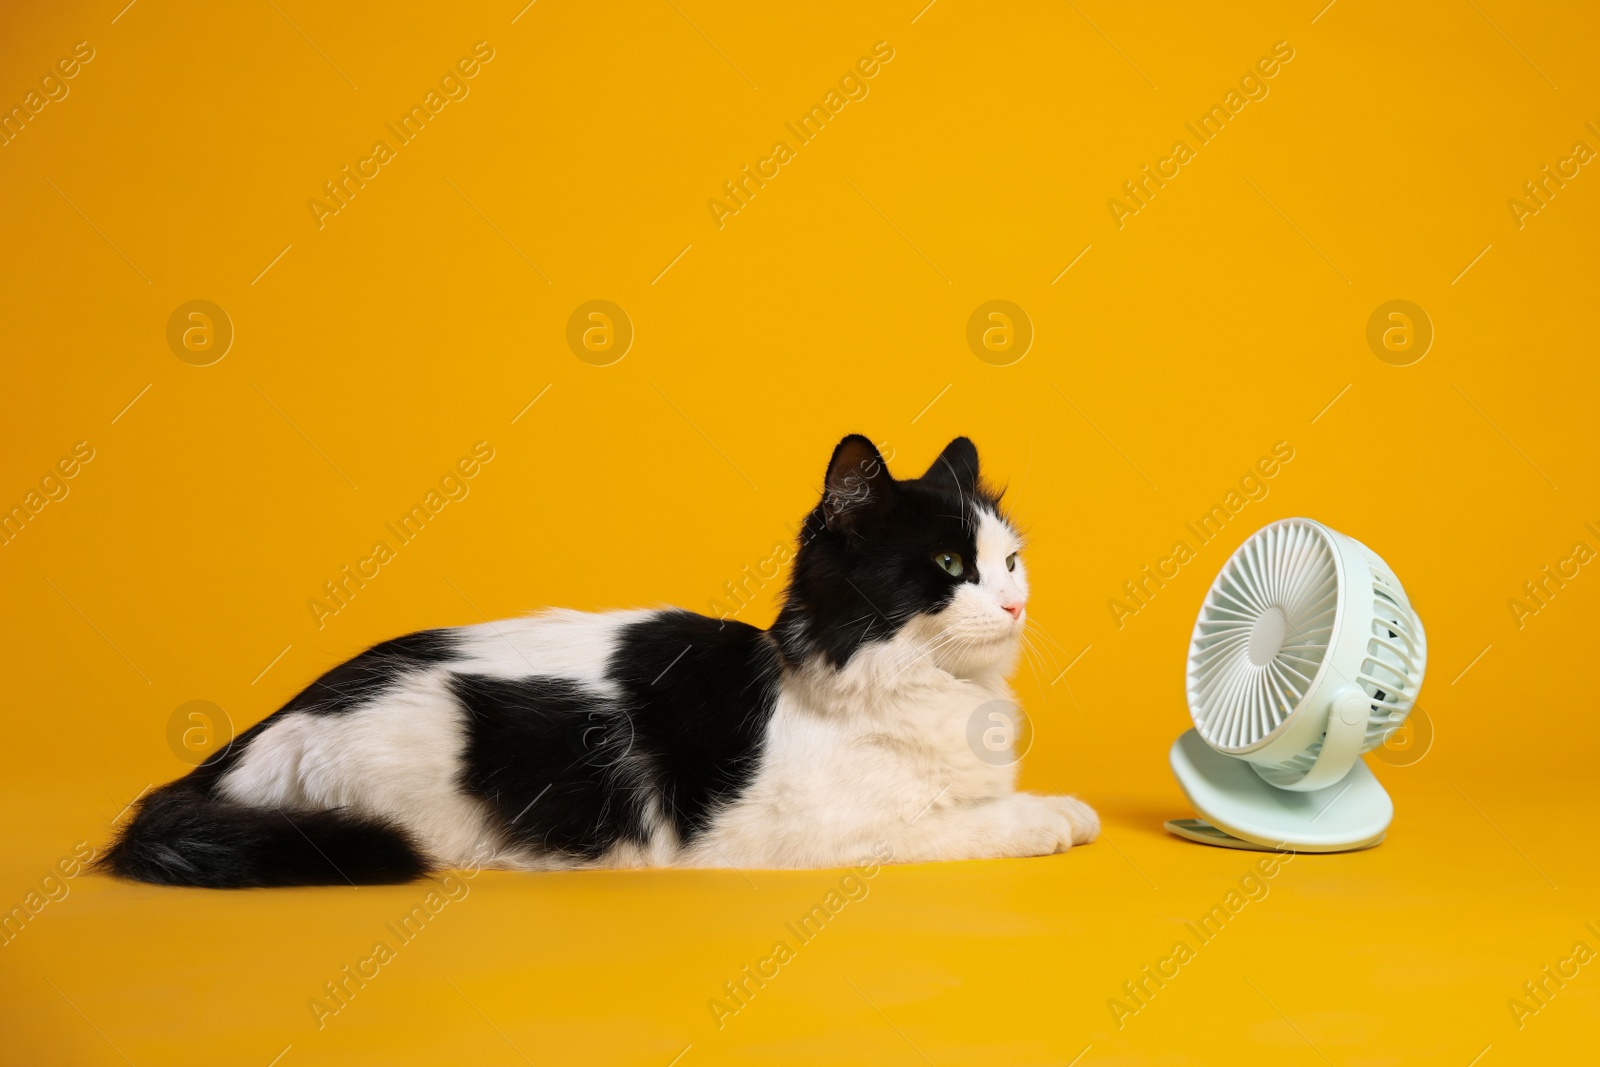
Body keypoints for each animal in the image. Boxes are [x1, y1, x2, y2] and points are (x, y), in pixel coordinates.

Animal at [100, 438, 1100, 889]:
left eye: (1010, 561)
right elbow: (966, 822)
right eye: (949, 566)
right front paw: (1050, 818)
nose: (1016, 604)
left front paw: (1062, 805)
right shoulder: (809, 833)